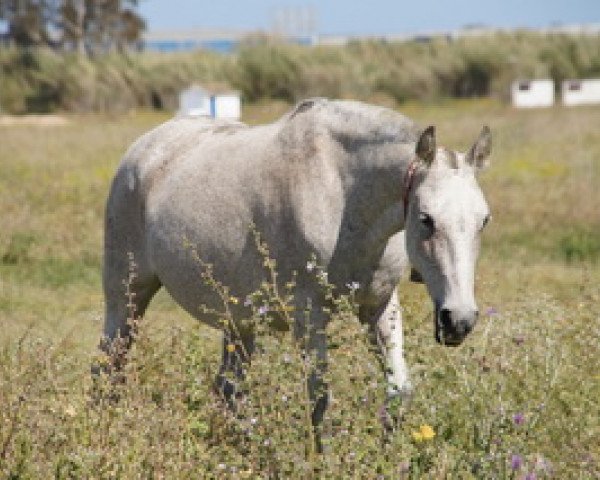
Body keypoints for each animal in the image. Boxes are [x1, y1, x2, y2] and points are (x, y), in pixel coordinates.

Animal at [101, 98, 490, 450]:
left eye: (484, 220)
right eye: (425, 218)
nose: (458, 320)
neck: (340, 192)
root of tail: (142, 151)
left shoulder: (379, 306)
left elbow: (398, 392)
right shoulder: (308, 315)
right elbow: (319, 399)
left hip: (238, 322)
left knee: (228, 390)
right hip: (126, 299)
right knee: (108, 371)